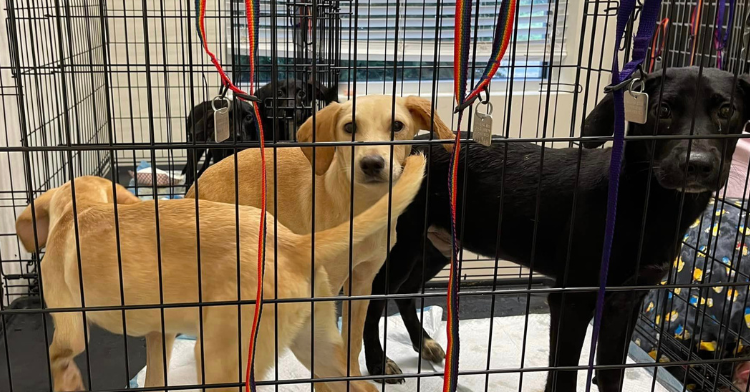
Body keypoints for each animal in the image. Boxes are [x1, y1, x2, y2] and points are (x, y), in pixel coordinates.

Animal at [17, 155, 426, 390]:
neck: (80, 211)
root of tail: (292, 243)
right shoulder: (161, 332)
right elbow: (154, 378)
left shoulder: (69, 324)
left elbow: (58, 354)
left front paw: (67, 381)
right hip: (318, 345)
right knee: (358, 384)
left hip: (220, 358)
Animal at [185, 95, 456, 380]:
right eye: (349, 127)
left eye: (397, 125)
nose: (372, 163)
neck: (363, 209)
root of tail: (196, 186)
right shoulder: (327, 286)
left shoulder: (363, 281)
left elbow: (353, 341)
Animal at [364, 66, 750, 390]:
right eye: (664, 110)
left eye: (726, 110)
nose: (696, 165)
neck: (645, 205)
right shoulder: (572, 298)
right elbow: (564, 375)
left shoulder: (627, 300)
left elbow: (610, 374)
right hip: (401, 247)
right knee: (373, 300)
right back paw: (378, 364)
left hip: (437, 246)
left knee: (404, 292)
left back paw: (423, 342)